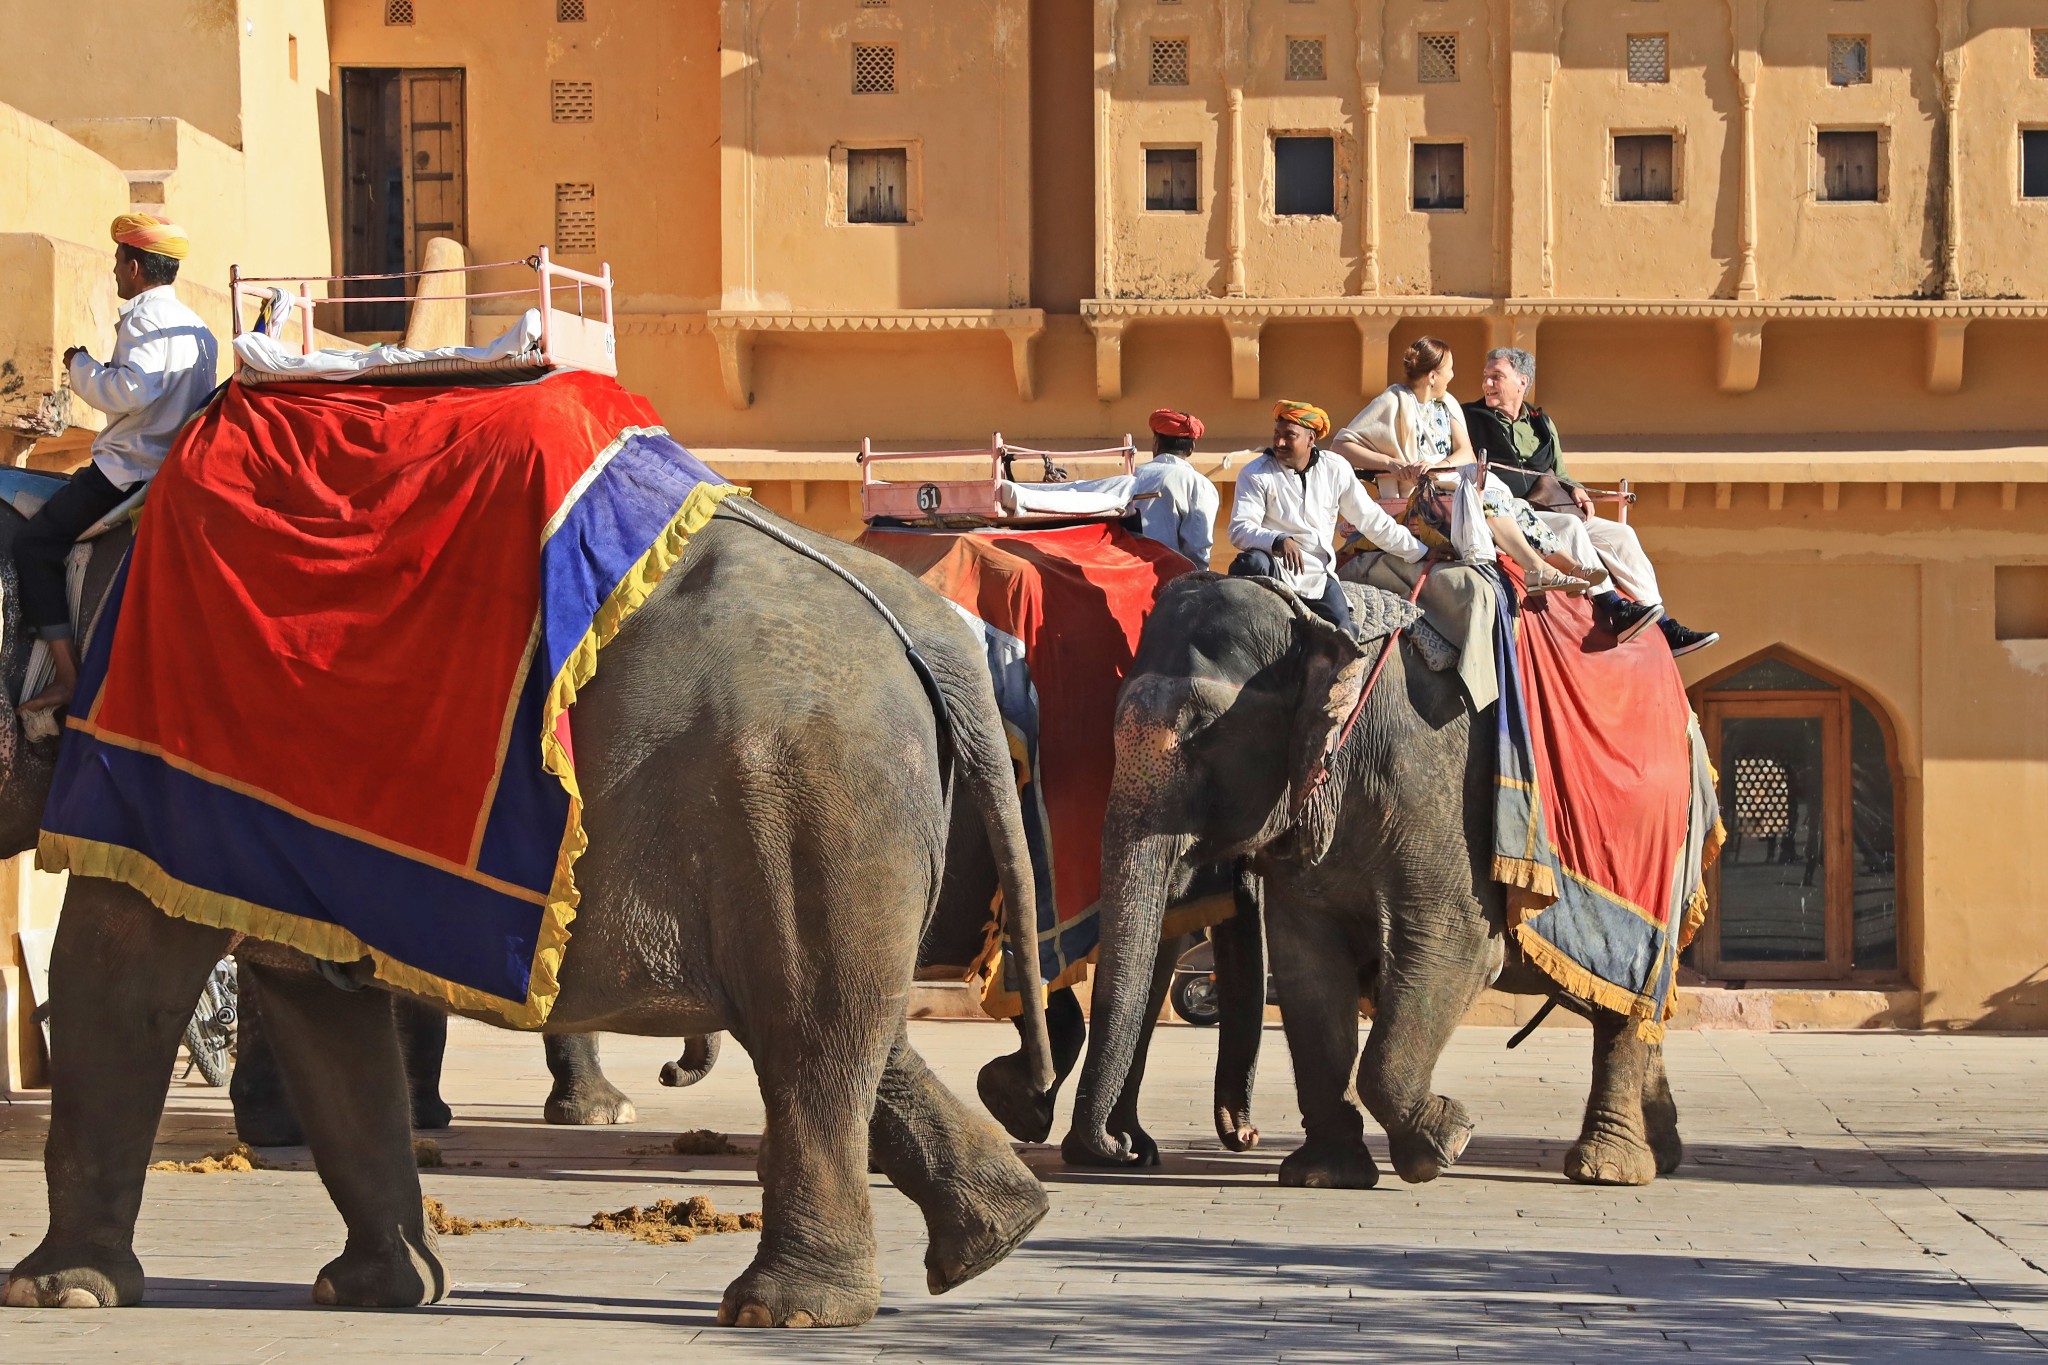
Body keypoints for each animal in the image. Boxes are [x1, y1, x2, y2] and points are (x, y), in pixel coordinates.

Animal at [0, 501, 1056, 1326]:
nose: (674, 1069)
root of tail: (930, 630)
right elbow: (319, 1006)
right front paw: (383, 1293)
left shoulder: (151, 748)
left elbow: (117, 971)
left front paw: (53, 1294)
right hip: (837, 810)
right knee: (842, 1024)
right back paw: (996, 1238)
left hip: (808, 795)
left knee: (807, 1021)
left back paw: (786, 1309)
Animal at [1056, 573, 1679, 1186]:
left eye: (1203, 730)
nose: (1123, 1150)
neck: (1318, 625)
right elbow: (1308, 967)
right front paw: (1324, 1174)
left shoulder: (1436, 785)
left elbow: (1460, 945)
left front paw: (1445, 1141)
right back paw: (1660, 1155)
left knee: (1626, 1004)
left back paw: (1607, 1168)